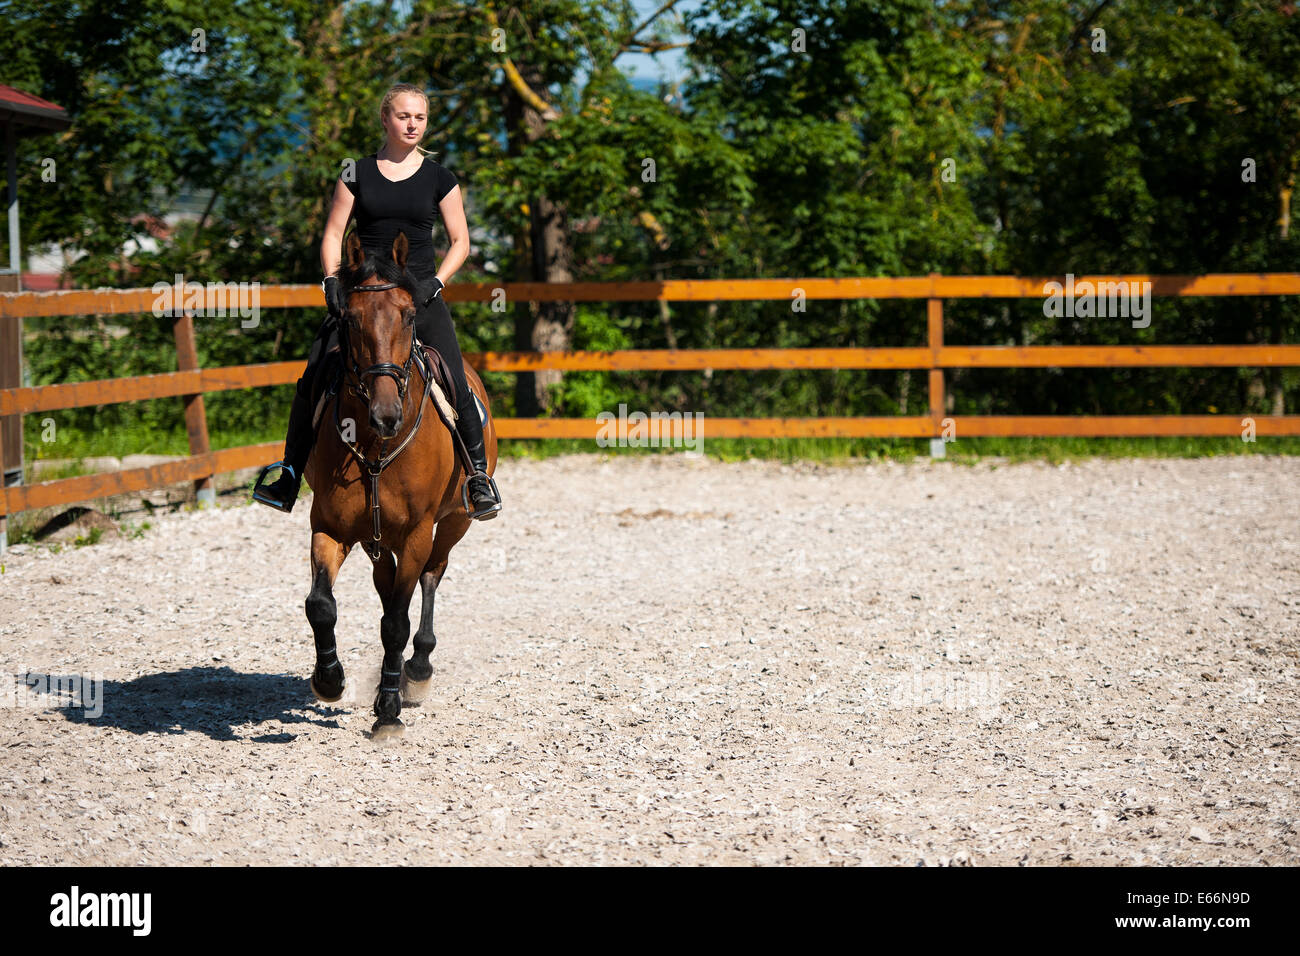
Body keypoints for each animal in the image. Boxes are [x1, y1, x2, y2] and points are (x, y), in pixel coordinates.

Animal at [301, 230, 493, 738]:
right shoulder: (329, 527)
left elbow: (395, 624)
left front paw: (388, 709)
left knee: (430, 578)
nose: (385, 414)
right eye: (349, 318)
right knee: (385, 586)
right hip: (376, 539)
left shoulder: (416, 536)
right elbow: (320, 605)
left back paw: (418, 670)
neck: (375, 445)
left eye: (409, 315)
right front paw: (329, 680)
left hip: (453, 523)